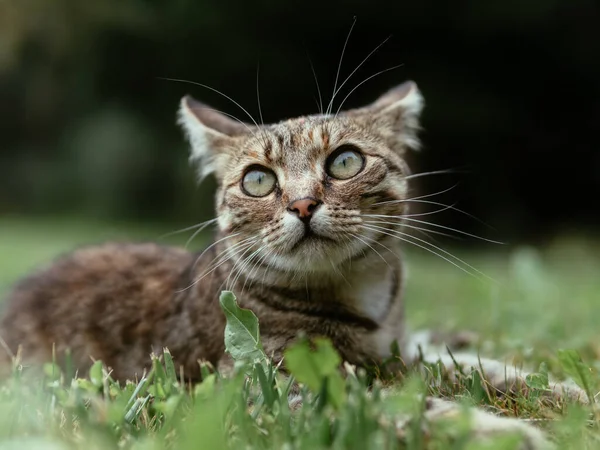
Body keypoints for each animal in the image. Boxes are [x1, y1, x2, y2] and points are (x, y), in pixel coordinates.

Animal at [0, 81, 580, 446]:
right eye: (258, 179)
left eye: (345, 161)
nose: (302, 204)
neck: (361, 299)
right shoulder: (277, 389)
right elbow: (395, 407)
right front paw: (500, 432)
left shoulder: (398, 351)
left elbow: (467, 365)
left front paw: (560, 390)